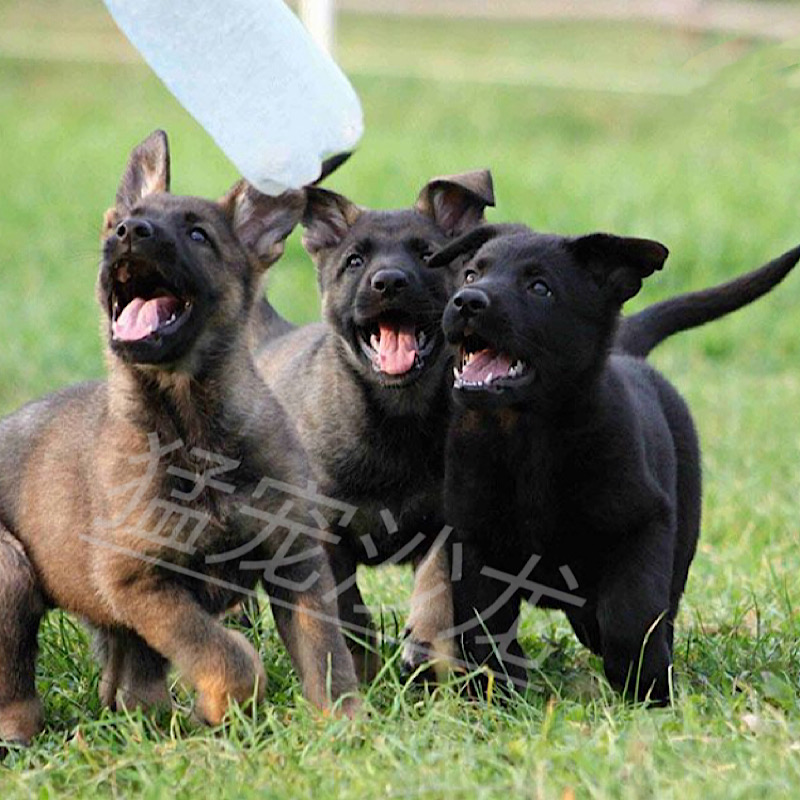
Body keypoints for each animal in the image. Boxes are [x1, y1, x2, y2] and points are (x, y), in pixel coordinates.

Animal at [0, 128, 358, 748]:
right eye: (125, 222)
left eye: (198, 234)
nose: (128, 232)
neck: (193, 430)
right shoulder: (139, 581)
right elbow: (229, 656)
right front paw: (221, 706)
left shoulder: (296, 564)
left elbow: (327, 658)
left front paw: (346, 731)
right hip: (11, 573)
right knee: (22, 688)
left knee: (126, 687)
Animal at [255, 173, 494, 676]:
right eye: (355, 261)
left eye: (427, 255)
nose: (389, 282)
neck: (395, 416)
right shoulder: (326, 536)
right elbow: (347, 614)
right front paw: (360, 672)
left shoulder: (444, 526)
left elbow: (436, 591)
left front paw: (424, 648)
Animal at [432, 223, 800, 700]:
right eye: (472, 274)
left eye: (540, 287)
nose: (467, 302)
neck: (528, 437)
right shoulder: (473, 541)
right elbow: (482, 626)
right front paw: (494, 693)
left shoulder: (642, 525)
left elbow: (631, 616)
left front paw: (647, 689)